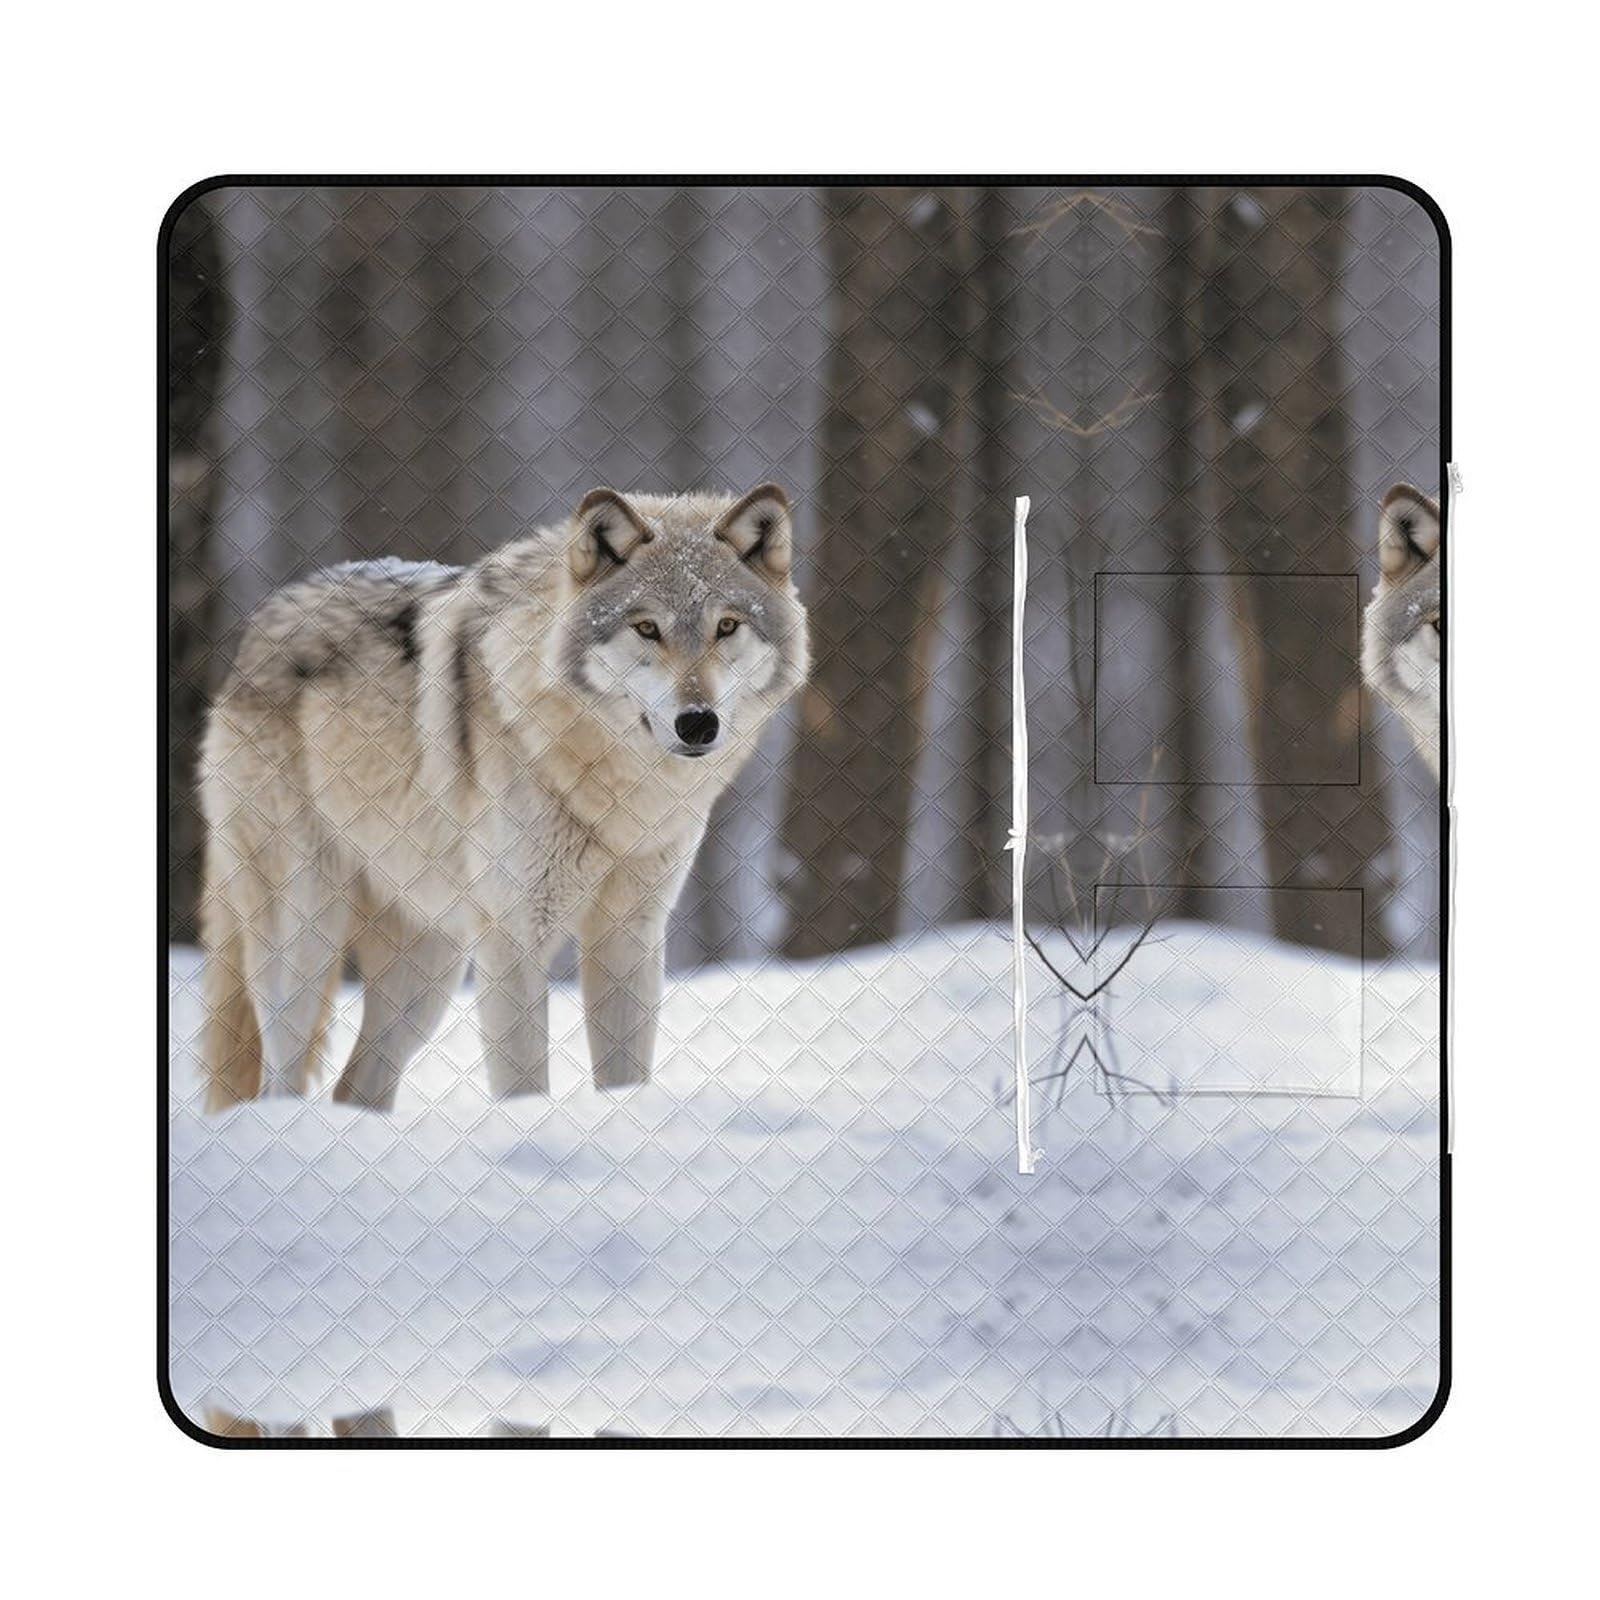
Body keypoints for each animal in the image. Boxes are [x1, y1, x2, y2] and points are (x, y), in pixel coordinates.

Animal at [198, 486, 809, 1111]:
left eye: (727, 626)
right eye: (646, 628)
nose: (698, 723)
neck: (612, 792)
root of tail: (256, 629)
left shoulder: (629, 935)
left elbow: (625, 1078)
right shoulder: (514, 940)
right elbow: (523, 1084)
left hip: (428, 974)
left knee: (355, 1086)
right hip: (305, 940)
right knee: (278, 1078)